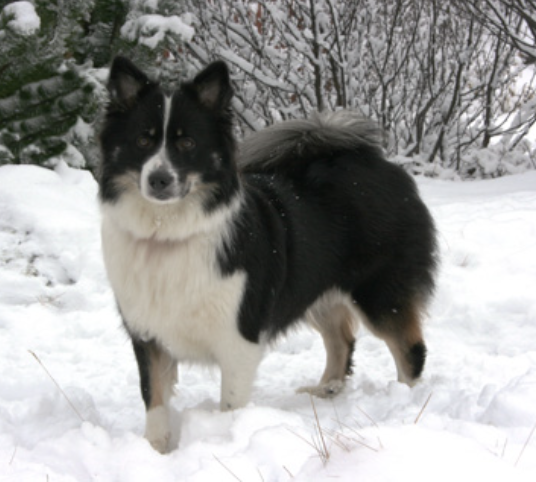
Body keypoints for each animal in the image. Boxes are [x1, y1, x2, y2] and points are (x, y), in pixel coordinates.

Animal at [98, 57, 438, 452]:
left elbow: (230, 404)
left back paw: (407, 404)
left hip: (379, 292)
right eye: (141, 140)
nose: (159, 180)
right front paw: (155, 450)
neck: (168, 233)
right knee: (342, 340)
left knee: (410, 348)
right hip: (315, 288)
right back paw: (326, 389)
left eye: (187, 142)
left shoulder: (238, 336)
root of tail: (377, 164)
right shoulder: (148, 333)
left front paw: (229, 440)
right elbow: (153, 397)